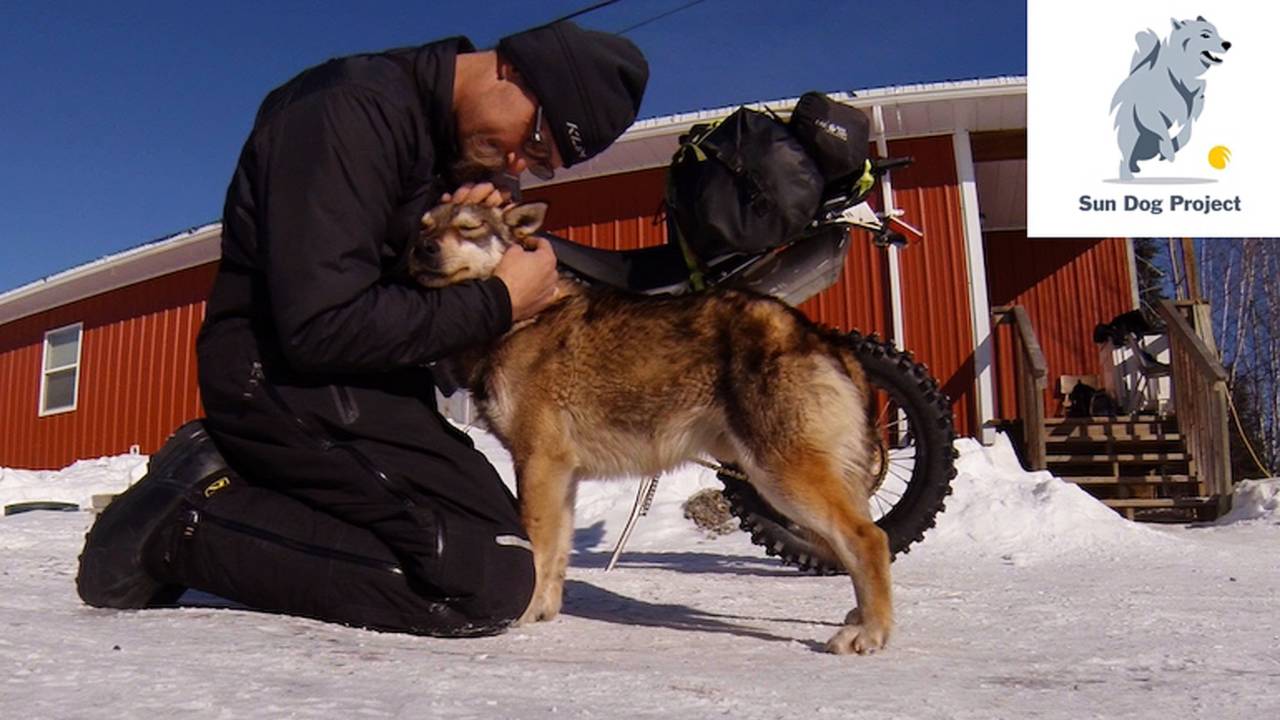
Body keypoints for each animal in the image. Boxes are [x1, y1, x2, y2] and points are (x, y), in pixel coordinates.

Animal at [414, 202, 896, 650]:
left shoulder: (537, 464)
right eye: (424, 228)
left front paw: (525, 613)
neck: (520, 319)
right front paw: (544, 611)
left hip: (780, 481)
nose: (423, 249)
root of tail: (819, 337)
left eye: (469, 227)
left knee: (870, 538)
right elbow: (556, 555)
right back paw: (862, 618)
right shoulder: (561, 475)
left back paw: (869, 633)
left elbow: (537, 549)